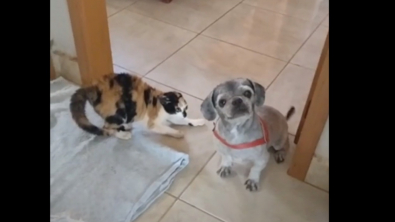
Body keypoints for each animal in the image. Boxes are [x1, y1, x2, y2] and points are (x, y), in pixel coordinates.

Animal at [69, 72, 206, 139]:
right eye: (177, 108)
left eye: (186, 108)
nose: (184, 113)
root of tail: (92, 87)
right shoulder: (153, 123)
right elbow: (164, 128)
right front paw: (177, 133)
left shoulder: (175, 117)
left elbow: (186, 121)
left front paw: (198, 121)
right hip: (118, 112)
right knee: (107, 128)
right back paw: (123, 135)